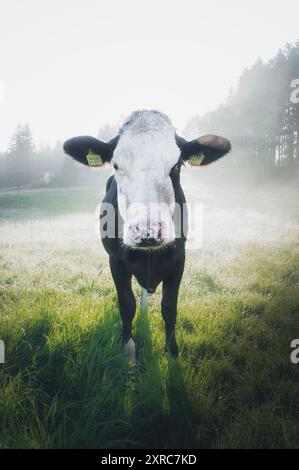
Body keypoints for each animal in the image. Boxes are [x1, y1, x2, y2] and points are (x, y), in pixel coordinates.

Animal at [63, 110, 232, 364]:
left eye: (177, 165)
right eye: (115, 164)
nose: (147, 232)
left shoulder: (179, 259)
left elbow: (169, 307)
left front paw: (172, 354)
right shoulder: (116, 261)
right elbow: (126, 304)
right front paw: (129, 351)